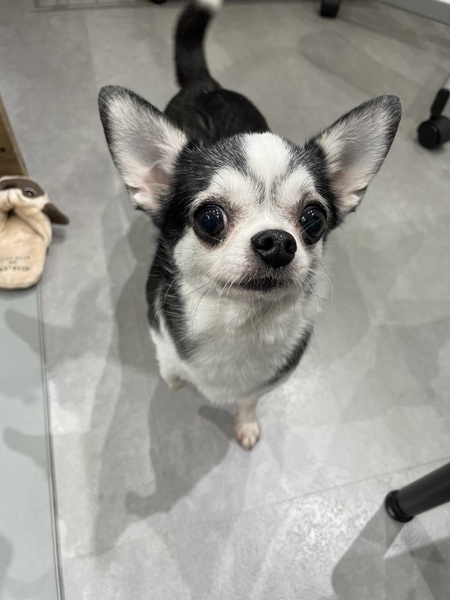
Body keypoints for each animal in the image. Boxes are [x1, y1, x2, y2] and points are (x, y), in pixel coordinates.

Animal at [98, 0, 401, 450]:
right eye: (209, 219)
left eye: (313, 219)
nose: (278, 242)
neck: (240, 321)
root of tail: (207, 84)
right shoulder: (161, 332)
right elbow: (170, 369)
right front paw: (176, 378)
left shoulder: (267, 381)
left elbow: (248, 401)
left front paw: (245, 423)